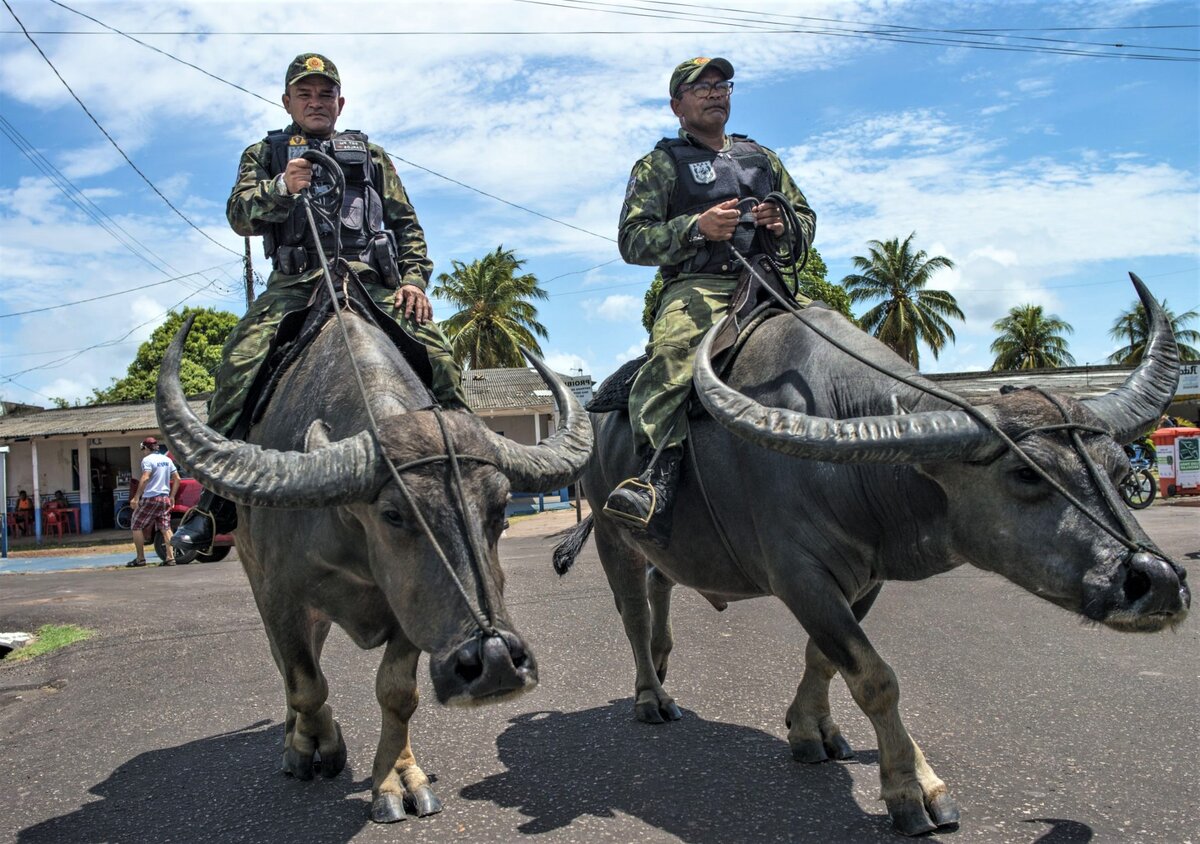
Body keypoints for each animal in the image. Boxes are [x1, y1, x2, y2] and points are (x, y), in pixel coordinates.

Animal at [158, 298, 590, 825]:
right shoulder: (279, 595)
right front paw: (314, 747)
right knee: (290, 667)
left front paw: (397, 779)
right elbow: (305, 682)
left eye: (500, 511)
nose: (495, 661)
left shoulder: (411, 609)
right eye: (393, 513)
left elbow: (397, 692)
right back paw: (295, 738)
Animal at [554, 273, 1190, 835]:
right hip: (612, 532)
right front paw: (916, 789)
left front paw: (811, 731)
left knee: (661, 585)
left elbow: (824, 657)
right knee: (633, 612)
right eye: (1025, 473)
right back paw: (652, 695)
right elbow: (875, 676)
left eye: (1118, 470)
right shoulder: (800, 576)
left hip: (663, 543)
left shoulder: (865, 577)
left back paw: (664, 663)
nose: (1156, 579)